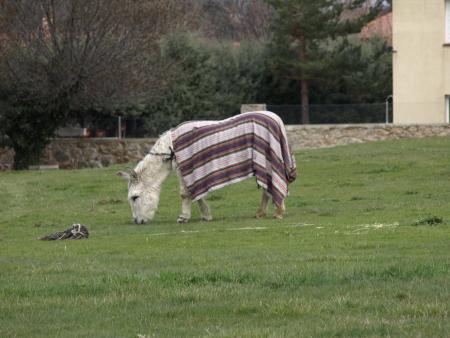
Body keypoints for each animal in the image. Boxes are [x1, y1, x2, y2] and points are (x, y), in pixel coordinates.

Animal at [118, 111, 298, 224]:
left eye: (134, 197)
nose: (137, 221)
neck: (171, 148)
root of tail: (275, 118)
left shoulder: (183, 169)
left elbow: (185, 193)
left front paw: (183, 217)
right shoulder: (191, 172)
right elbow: (196, 193)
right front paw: (206, 215)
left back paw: (278, 212)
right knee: (266, 188)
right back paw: (261, 213)